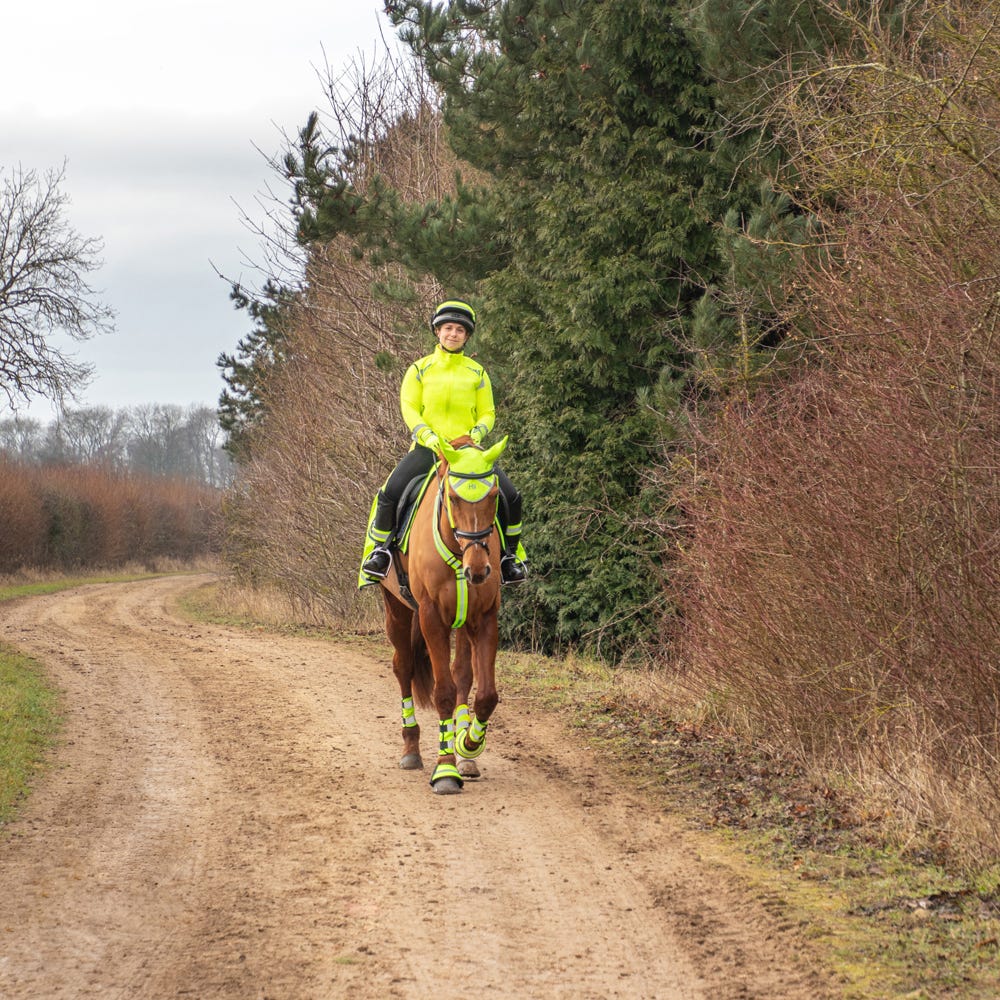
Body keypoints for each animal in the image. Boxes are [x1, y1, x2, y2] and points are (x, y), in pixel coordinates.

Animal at [378, 438, 512, 796]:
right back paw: (411, 750)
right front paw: (445, 770)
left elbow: (485, 694)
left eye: (495, 496)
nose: (478, 569)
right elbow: (443, 693)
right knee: (403, 667)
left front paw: (468, 744)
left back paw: (466, 756)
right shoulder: (431, 618)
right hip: (396, 610)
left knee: (462, 674)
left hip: (463, 622)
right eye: (453, 497)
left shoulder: (484, 617)